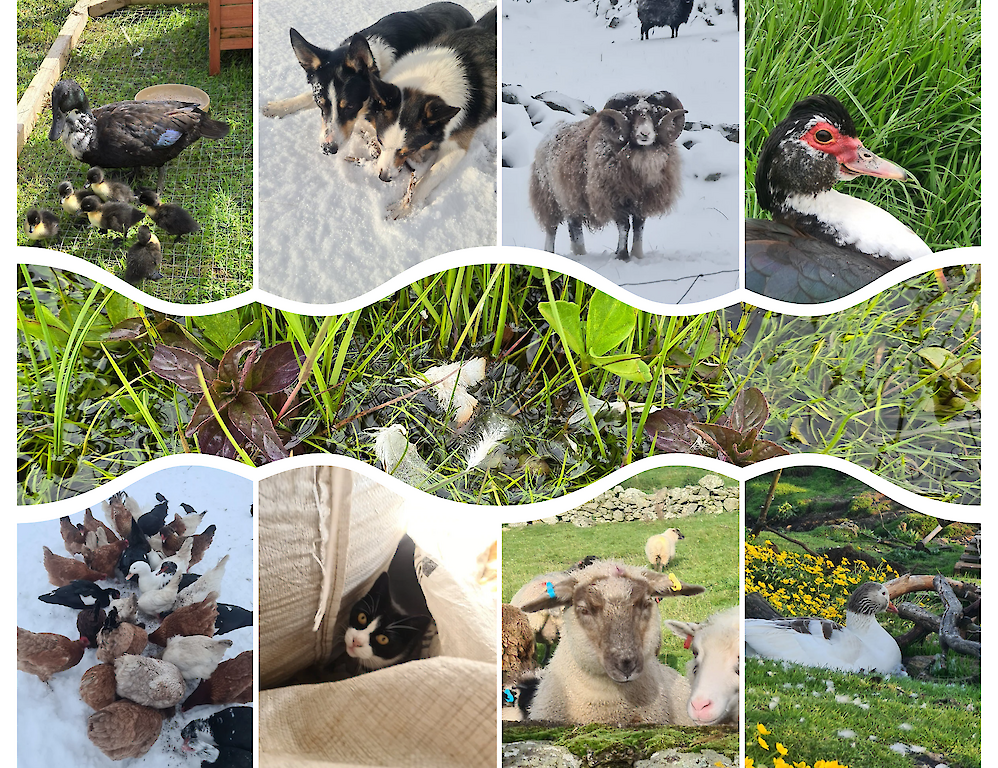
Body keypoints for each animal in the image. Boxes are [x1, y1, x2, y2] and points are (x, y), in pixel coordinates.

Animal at [529, 91, 687, 262]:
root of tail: (551, 132)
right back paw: (550, 252)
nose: (644, 134)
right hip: (548, 197)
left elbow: (638, 227)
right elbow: (624, 227)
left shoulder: (642, 202)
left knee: (574, 227)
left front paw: (637, 255)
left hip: (570, 199)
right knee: (552, 229)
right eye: (630, 113)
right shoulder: (614, 199)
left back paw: (580, 254)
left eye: (656, 113)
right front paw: (622, 255)